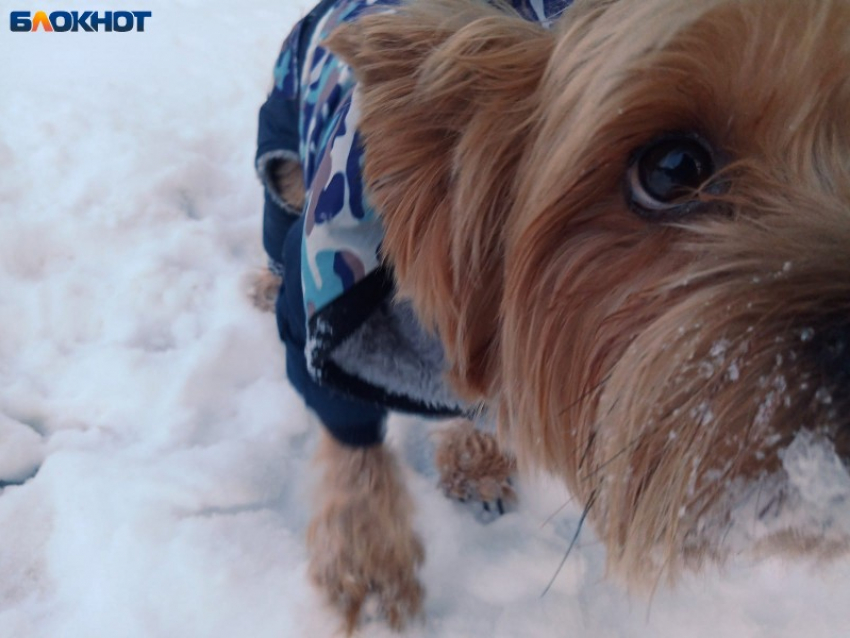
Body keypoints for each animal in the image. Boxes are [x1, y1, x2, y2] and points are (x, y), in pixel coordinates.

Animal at [255, 0, 848, 632]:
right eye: (672, 169)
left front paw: (475, 455)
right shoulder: (322, 330)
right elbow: (352, 451)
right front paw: (368, 572)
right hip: (283, 158)